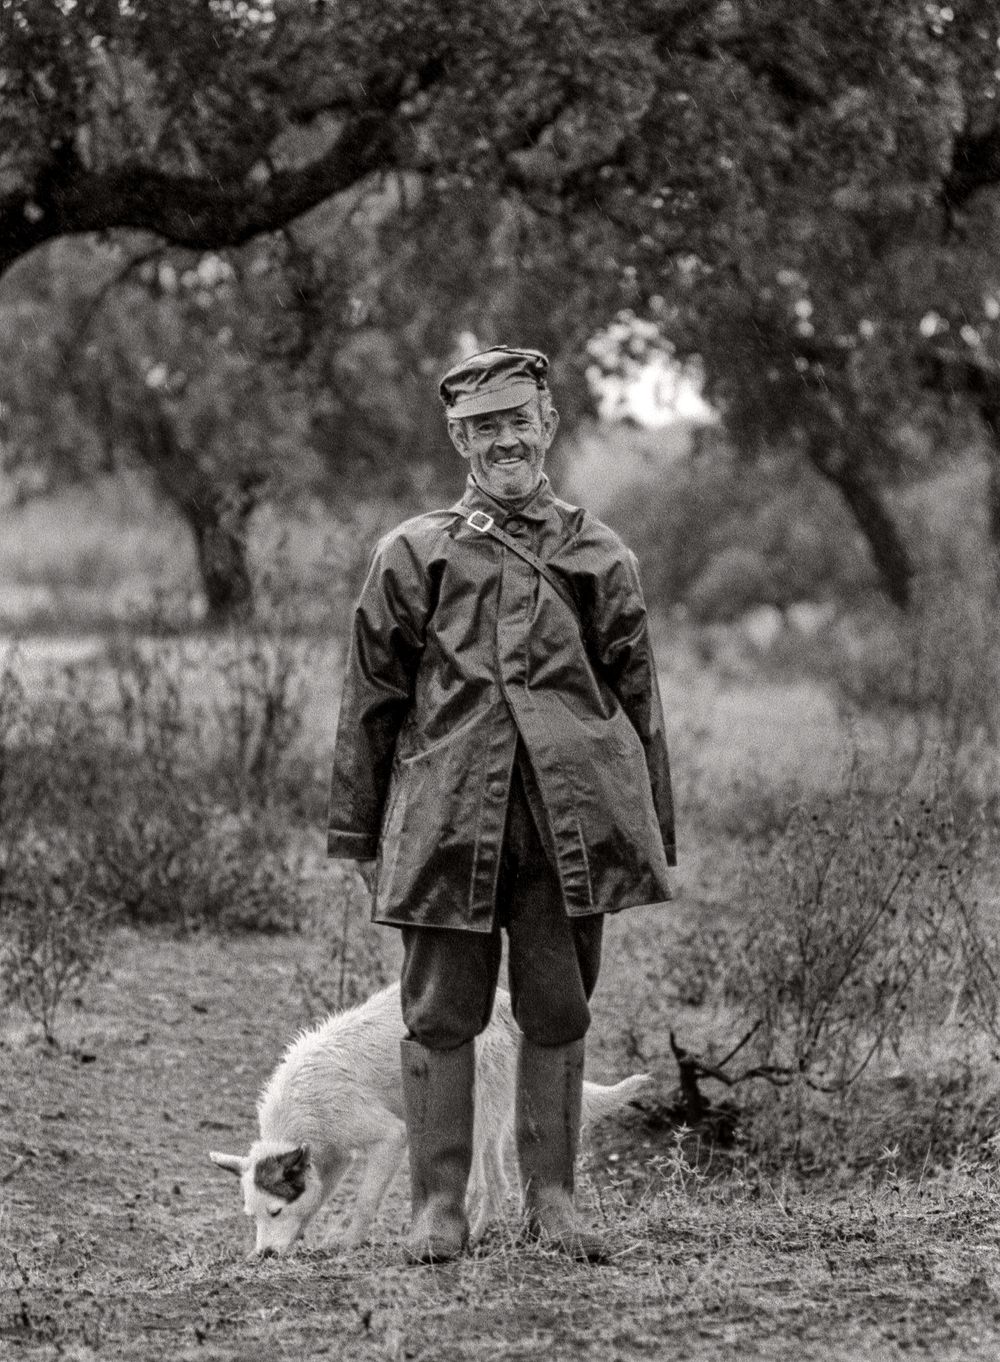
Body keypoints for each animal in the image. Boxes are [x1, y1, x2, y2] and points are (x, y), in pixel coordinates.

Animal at [211, 980, 651, 1253]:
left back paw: (466, 1238)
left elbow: (365, 1201)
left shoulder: (390, 1138)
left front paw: (349, 1242)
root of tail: (507, 1009)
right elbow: (317, 1198)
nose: (265, 1255)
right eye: (252, 1216)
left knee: (488, 1184)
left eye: (275, 1211)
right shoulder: (332, 1158)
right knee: (497, 1184)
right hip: (488, 1126)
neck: (300, 1106)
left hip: (474, 1121)